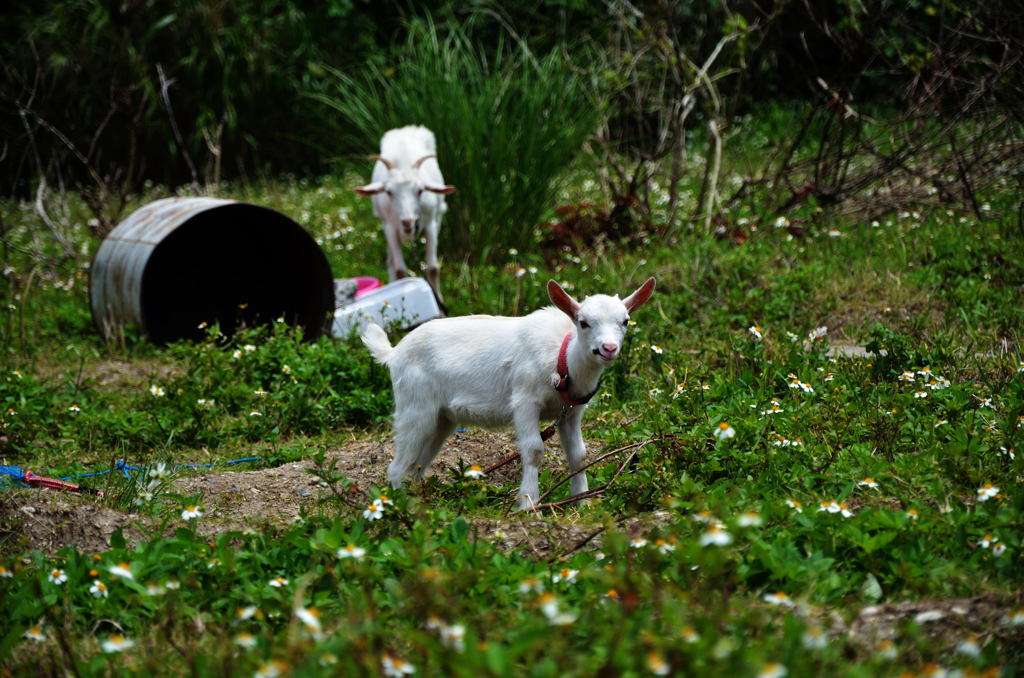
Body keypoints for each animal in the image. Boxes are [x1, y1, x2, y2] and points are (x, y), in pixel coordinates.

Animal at [360, 126, 456, 305]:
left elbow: (433, 268)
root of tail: (406, 128)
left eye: (420, 190)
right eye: (389, 192)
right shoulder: (390, 227)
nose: (407, 221)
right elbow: (399, 270)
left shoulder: (431, 224)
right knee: (391, 262)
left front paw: (440, 302)